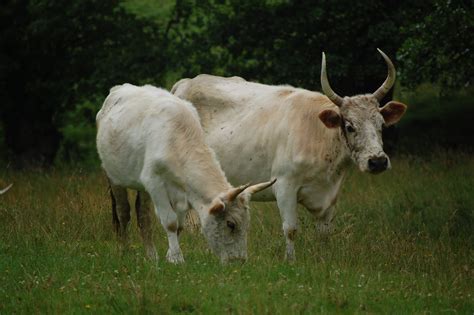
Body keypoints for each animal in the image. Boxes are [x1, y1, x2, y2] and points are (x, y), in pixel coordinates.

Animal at [96, 84, 274, 264]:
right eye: (231, 224)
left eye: (247, 225)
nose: (238, 261)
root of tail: (119, 88)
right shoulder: (155, 183)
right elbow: (170, 222)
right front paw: (177, 258)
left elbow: (179, 225)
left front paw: (169, 256)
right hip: (113, 176)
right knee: (123, 212)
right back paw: (124, 251)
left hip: (141, 185)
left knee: (143, 214)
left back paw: (151, 255)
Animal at [171, 49, 408, 262]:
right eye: (349, 126)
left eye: (381, 125)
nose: (377, 161)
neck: (320, 137)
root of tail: (185, 83)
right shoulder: (285, 185)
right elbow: (291, 229)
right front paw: (290, 261)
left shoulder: (331, 195)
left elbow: (324, 232)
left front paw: (324, 259)